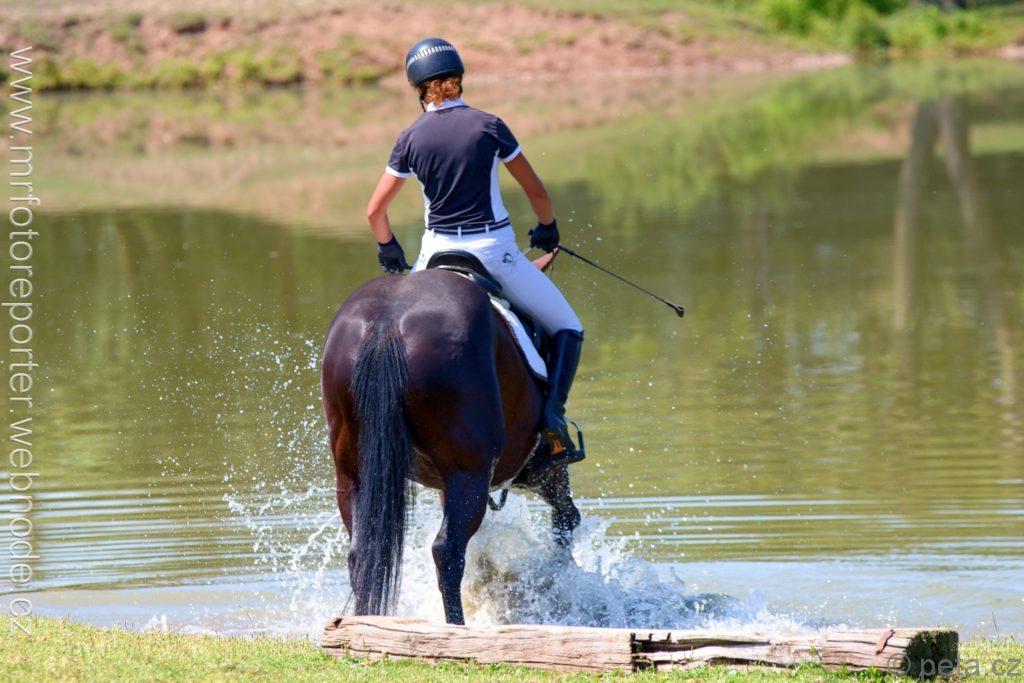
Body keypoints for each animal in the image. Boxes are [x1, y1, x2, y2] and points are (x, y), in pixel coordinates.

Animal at [321, 260, 581, 625]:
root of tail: (387, 324)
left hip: (354, 473)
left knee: (362, 552)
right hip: (469, 474)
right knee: (448, 552)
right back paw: (457, 627)